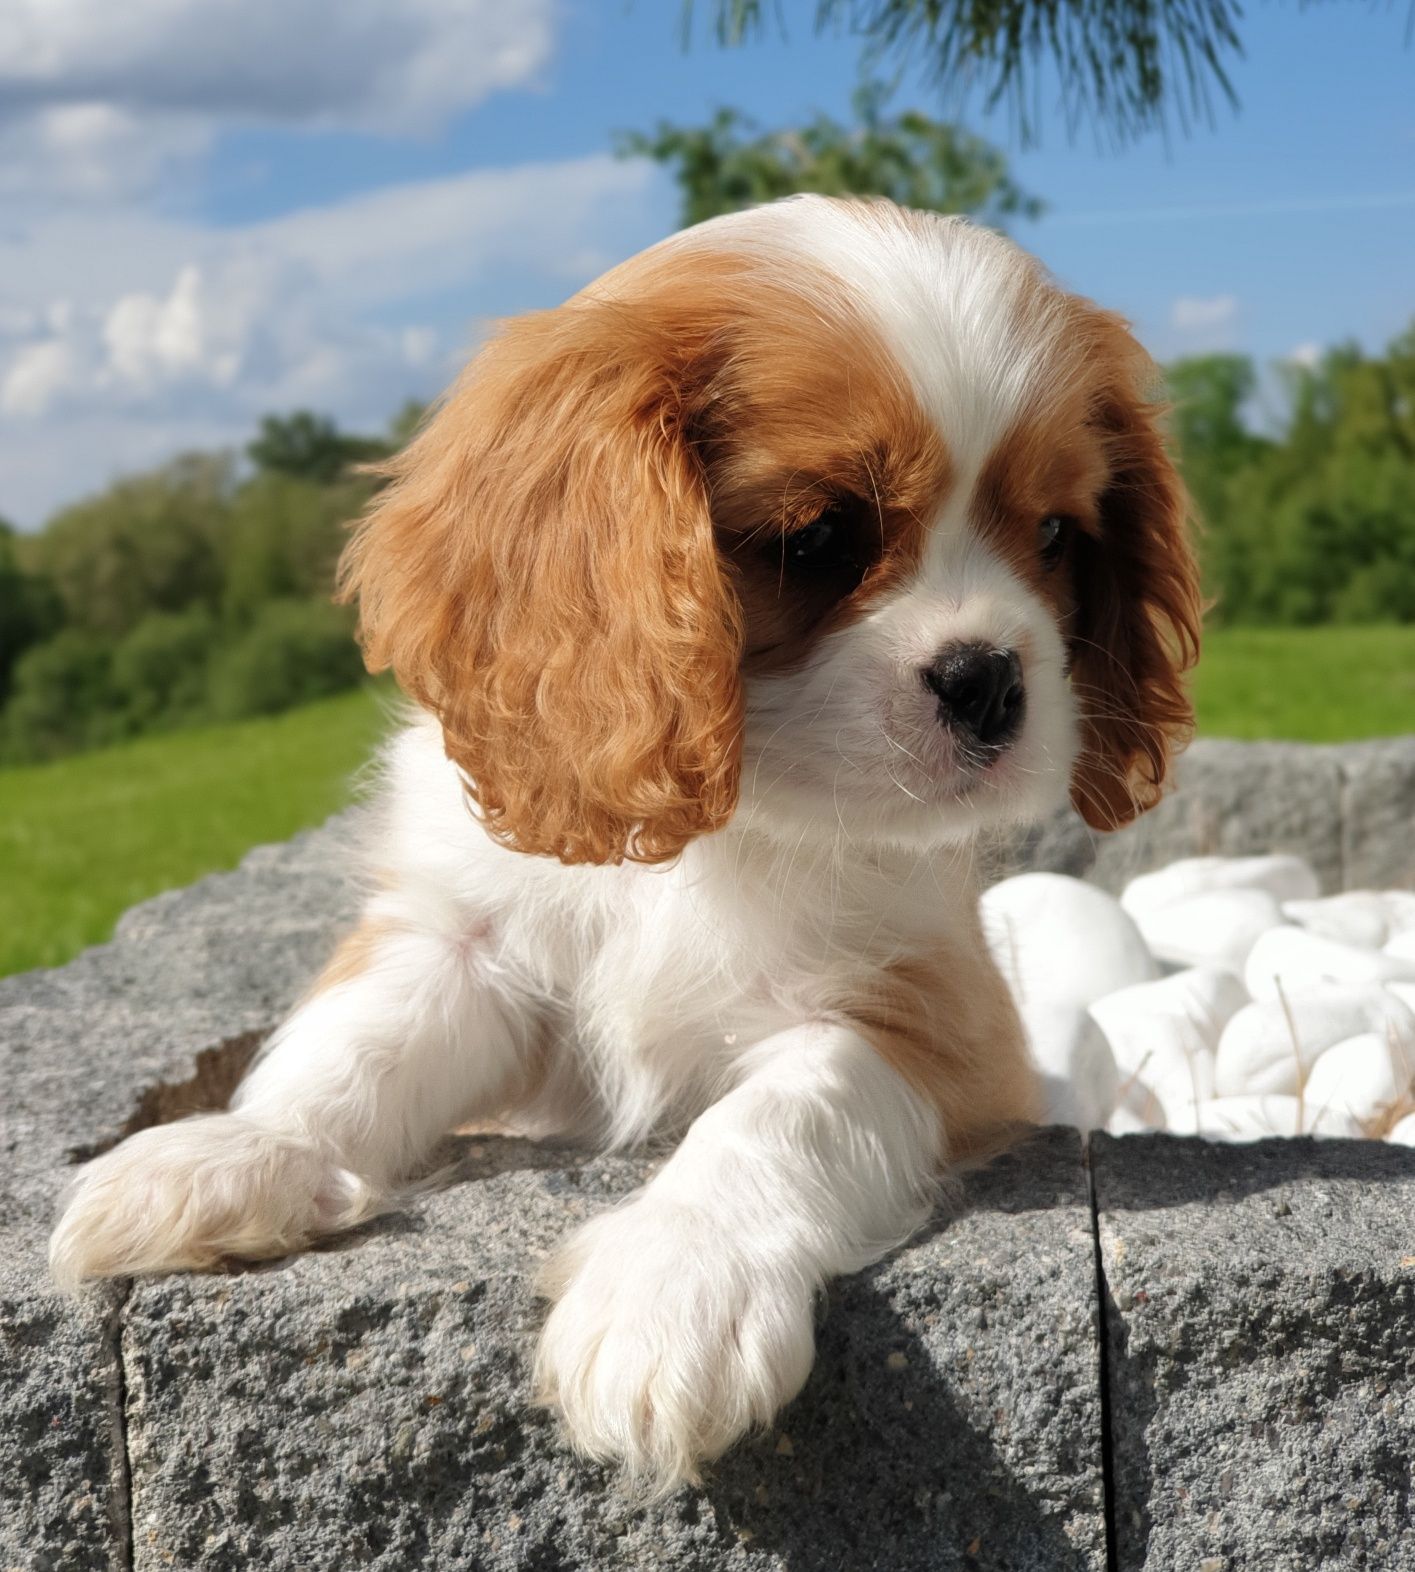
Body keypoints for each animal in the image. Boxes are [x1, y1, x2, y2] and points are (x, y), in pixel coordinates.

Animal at [58, 196, 1207, 1483]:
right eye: (815, 539)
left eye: (1056, 535)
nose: (988, 680)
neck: (731, 820)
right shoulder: (466, 939)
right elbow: (355, 1042)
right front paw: (234, 1152)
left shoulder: (932, 1020)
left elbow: (783, 1106)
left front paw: (675, 1281)